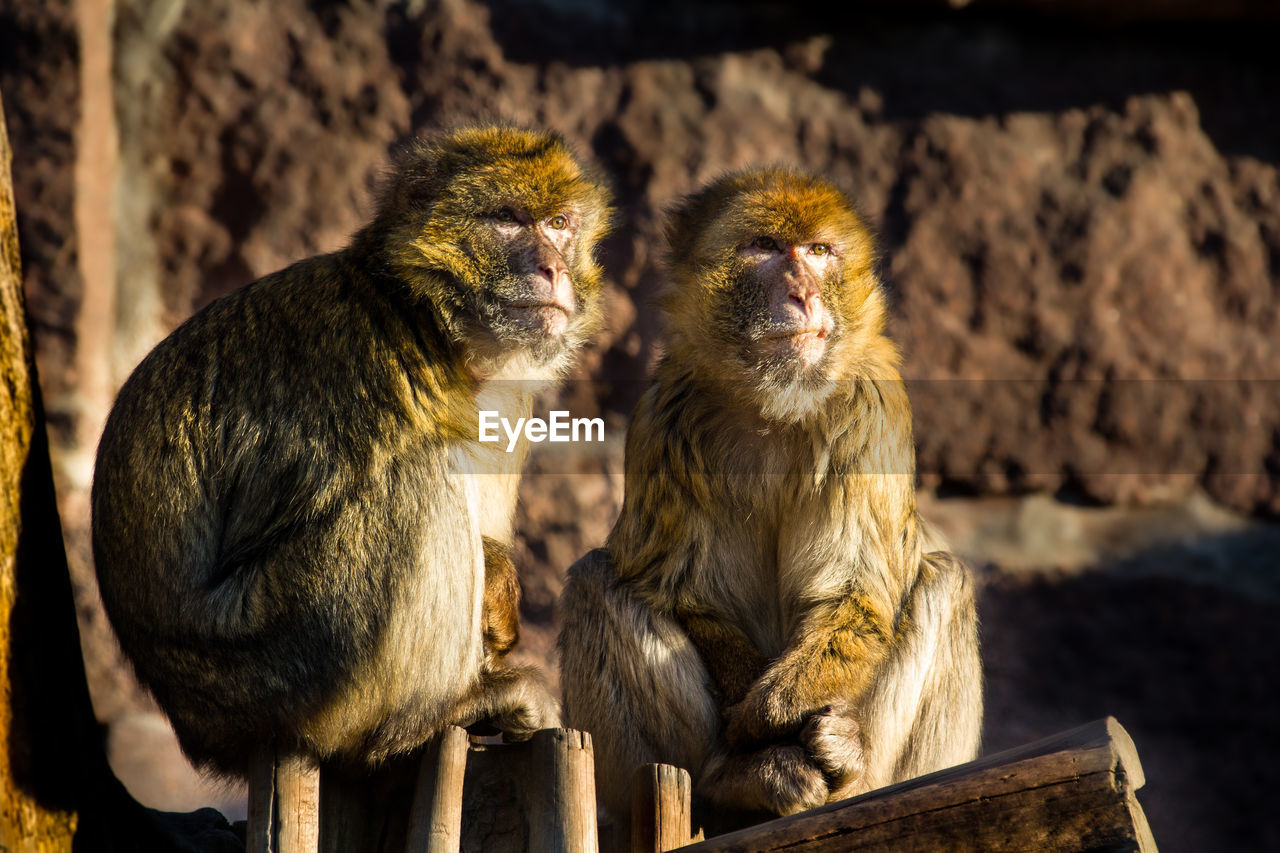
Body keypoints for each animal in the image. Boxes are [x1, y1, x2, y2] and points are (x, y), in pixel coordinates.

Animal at [92, 126, 611, 778]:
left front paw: (500, 587)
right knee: (416, 475)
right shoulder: (355, 363)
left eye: (560, 222)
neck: (427, 320)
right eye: (508, 219)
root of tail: (198, 725)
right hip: (274, 660)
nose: (551, 267)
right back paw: (418, 724)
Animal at [558, 167, 977, 824]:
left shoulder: (872, 405)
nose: (802, 292)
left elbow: (854, 594)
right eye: (764, 248)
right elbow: (685, 592)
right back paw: (736, 778)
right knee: (594, 581)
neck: (776, 404)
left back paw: (848, 756)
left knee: (946, 582)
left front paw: (772, 711)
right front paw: (753, 725)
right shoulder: (666, 416)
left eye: (819, 251)